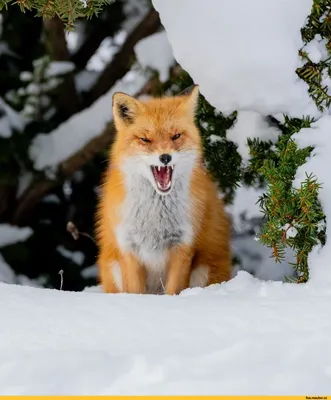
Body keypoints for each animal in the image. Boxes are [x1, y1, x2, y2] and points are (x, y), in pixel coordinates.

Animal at [96, 86, 231, 296]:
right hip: (113, 266)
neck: (155, 217)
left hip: (204, 270)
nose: (165, 157)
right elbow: (134, 291)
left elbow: (174, 290)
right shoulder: (129, 247)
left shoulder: (183, 245)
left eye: (176, 136)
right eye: (145, 139)